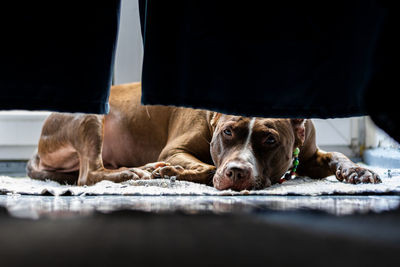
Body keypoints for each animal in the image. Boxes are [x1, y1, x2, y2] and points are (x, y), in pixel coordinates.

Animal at [27, 82, 378, 189]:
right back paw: (133, 172)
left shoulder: (309, 153)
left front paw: (358, 170)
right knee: (89, 174)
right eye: (227, 132)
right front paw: (170, 172)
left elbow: (336, 154)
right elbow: (207, 166)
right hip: (91, 118)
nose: (236, 172)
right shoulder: (174, 150)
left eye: (270, 140)